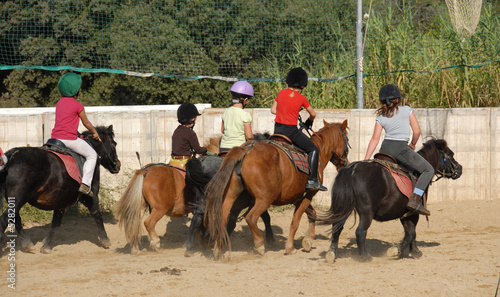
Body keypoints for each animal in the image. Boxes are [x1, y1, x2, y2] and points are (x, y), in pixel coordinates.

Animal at [205, 119, 350, 258]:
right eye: (347, 140)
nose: (346, 164)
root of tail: (247, 149)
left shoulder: (295, 197)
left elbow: (312, 213)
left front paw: (308, 240)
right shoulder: (309, 194)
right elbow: (296, 220)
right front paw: (290, 247)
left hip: (233, 194)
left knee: (223, 217)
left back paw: (218, 249)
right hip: (265, 198)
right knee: (251, 218)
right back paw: (259, 245)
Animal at [318, 139, 462, 262]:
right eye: (451, 154)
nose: (459, 168)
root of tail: (352, 169)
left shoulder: (405, 213)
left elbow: (410, 231)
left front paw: (410, 251)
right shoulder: (414, 212)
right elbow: (411, 233)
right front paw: (400, 250)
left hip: (344, 208)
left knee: (337, 227)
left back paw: (332, 254)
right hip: (366, 212)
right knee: (360, 232)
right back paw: (365, 256)